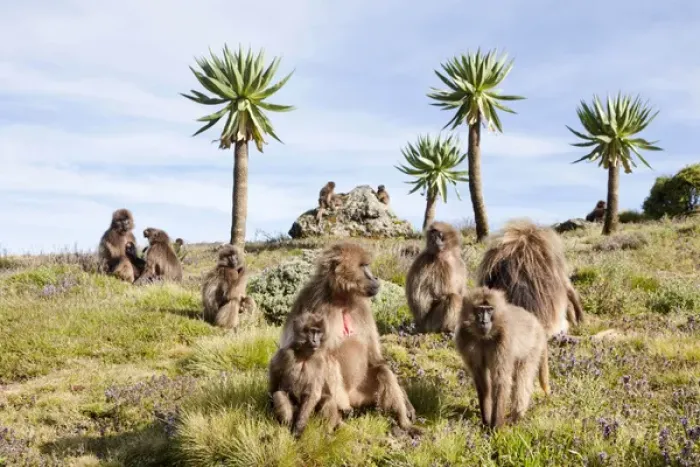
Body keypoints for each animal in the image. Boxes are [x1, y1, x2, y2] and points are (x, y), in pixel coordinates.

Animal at [279, 242, 417, 431]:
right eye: (363, 266)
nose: (375, 279)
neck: (342, 298)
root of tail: (353, 399)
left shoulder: (362, 308)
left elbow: (375, 357)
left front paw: (407, 405)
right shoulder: (314, 303)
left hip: (365, 392)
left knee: (382, 371)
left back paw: (404, 424)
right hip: (343, 395)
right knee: (328, 365)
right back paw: (340, 419)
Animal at [455, 287, 550, 430]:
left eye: (489, 309)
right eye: (479, 310)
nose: (484, 322)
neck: (484, 338)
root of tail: (537, 323)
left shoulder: (504, 339)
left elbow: (501, 380)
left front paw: (496, 428)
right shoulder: (466, 338)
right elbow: (483, 382)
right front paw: (486, 421)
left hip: (533, 346)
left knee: (522, 377)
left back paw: (517, 415)